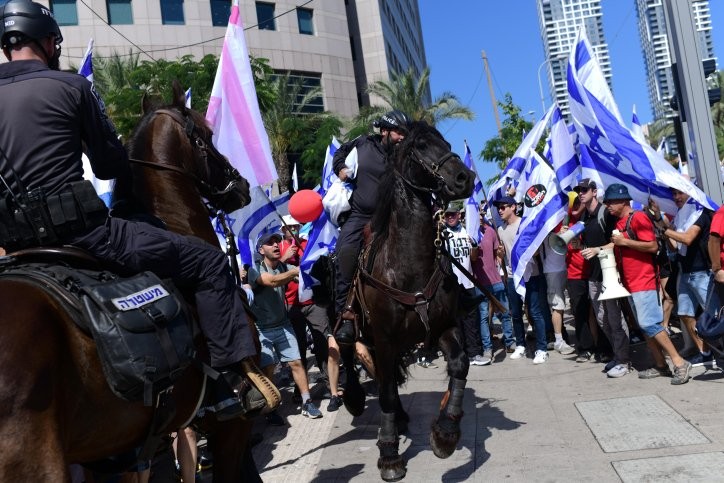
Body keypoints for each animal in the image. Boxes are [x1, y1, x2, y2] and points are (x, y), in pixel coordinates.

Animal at [340, 121, 475, 482]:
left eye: (447, 144)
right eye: (421, 147)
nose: (465, 177)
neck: (409, 264)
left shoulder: (443, 327)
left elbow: (460, 364)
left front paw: (446, 434)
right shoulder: (385, 338)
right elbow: (385, 392)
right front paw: (389, 455)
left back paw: (401, 417)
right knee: (345, 348)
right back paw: (356, 398)